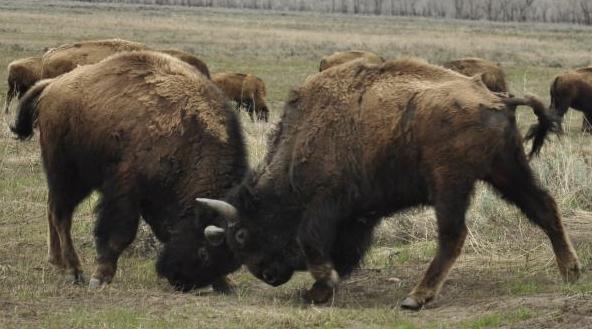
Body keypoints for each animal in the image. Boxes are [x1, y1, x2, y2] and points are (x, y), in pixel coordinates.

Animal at [11, 50, 247, 290]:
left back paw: (57, 262)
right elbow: (120, 233)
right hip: (67, 174)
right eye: (203, 252)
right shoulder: (126, 189)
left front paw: (226, 284)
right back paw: (75, 271)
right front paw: (100, 276)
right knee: (61, 216)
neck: (189, 137)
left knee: (52, 209)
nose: (180, 280)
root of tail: (52, 85)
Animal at [198, 58, 580, 310]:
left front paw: (321, 286)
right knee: (544, 208)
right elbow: (345, 251)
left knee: (453, 235)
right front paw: (320, 289)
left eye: (242, 234)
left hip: (451, 184)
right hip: (506, 171)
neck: (302, 139)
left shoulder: (326, 203)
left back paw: (416, 297)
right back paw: (571, 271)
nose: (267, 274)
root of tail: (498, 98)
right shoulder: (358, 216)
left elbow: (313, 242)